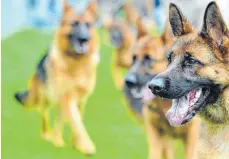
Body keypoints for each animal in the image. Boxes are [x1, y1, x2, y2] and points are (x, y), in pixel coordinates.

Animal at [14, 0, 99, 155]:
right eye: (74, 24)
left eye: (88, 25)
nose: (84, 39)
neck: (75, 62)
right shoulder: (68, 96)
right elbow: (77, 122)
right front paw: (86, 145)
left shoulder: (81, 99)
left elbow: (77, 120)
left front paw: (77, 144)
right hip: (45, 98)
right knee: (45, 115)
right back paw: (49, 136)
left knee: (60, 118)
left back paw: (57, 139)